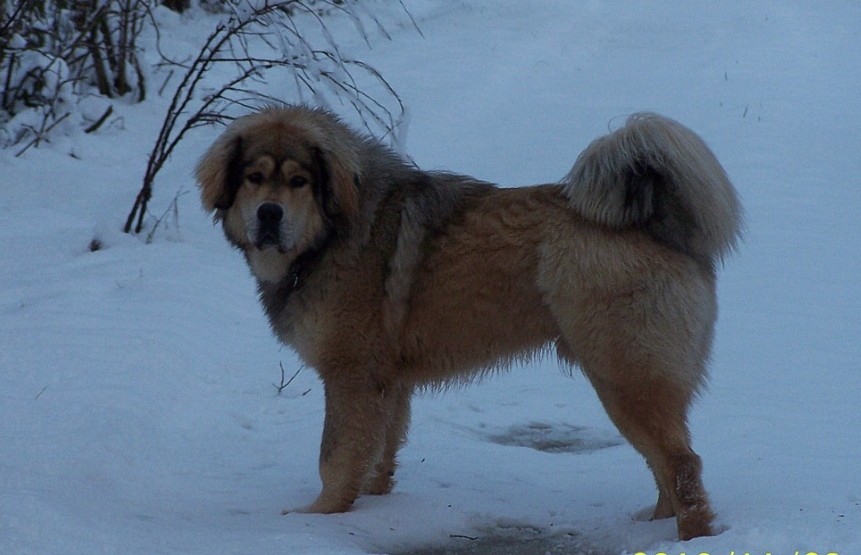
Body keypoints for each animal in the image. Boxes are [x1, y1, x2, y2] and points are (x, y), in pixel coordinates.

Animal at [195, 105, 742, 540]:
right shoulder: (388, 382)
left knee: (682, 462)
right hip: (632, 380)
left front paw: (318, 516)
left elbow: (335, 457)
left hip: (624, 374)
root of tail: (655, 222)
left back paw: (689, 535)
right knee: (664, 461)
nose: (269, 215)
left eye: (299, 181)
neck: (334, 231)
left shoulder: (351, 377)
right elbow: (378, 452)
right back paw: (653, 523)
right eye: (253, 178)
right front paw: (371, 500)